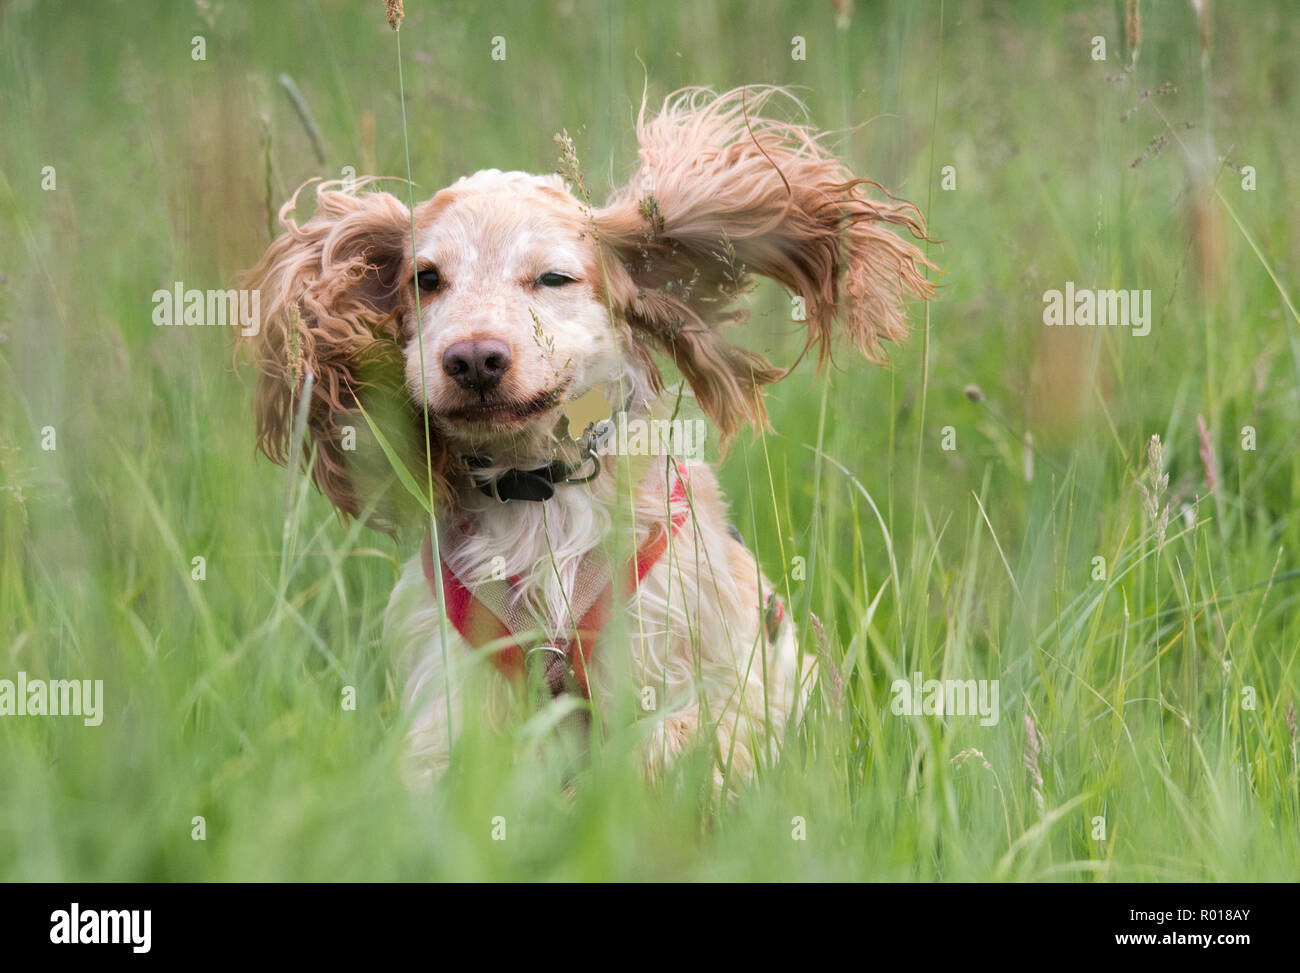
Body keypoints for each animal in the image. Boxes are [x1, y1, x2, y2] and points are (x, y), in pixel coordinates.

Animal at [244, 87, 935, 785]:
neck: (540, 488)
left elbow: (673, 744)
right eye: (426, 279)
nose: (473, 360)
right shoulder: (451, 686)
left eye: (553, 278)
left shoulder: (700, 668)